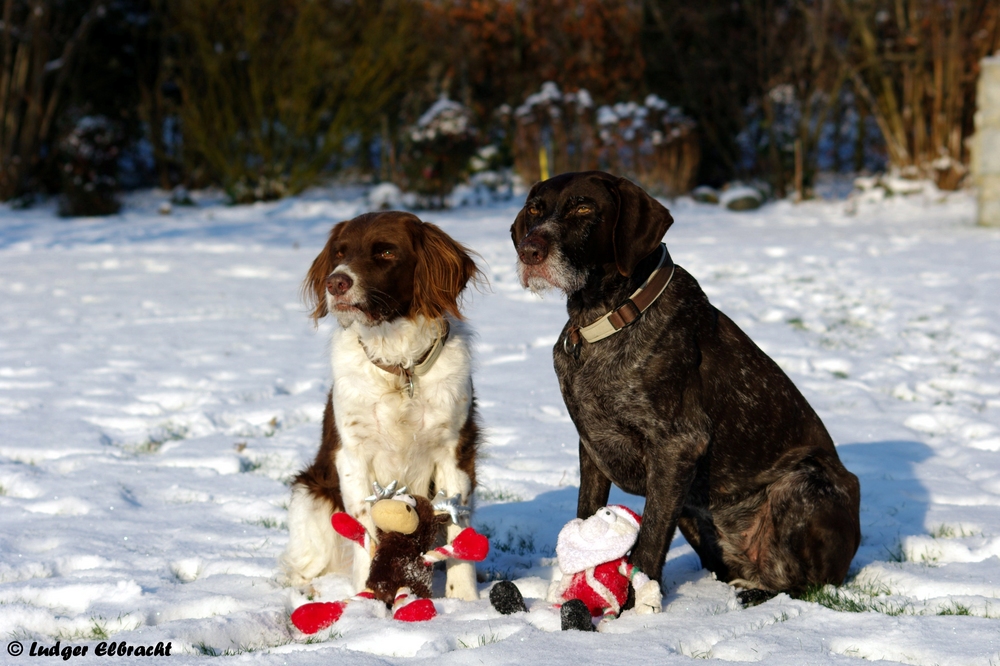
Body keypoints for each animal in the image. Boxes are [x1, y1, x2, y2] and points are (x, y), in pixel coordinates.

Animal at [282, 210, 484, 600]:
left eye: (387, 252)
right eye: (340, 252)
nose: (336, 283)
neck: (400, 369)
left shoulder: (455, 451)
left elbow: (458, 531)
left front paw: (465, 601)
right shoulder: (352, 455)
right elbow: (366, 530)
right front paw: (368, 597)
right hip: (310, 493)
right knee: (302, 566)